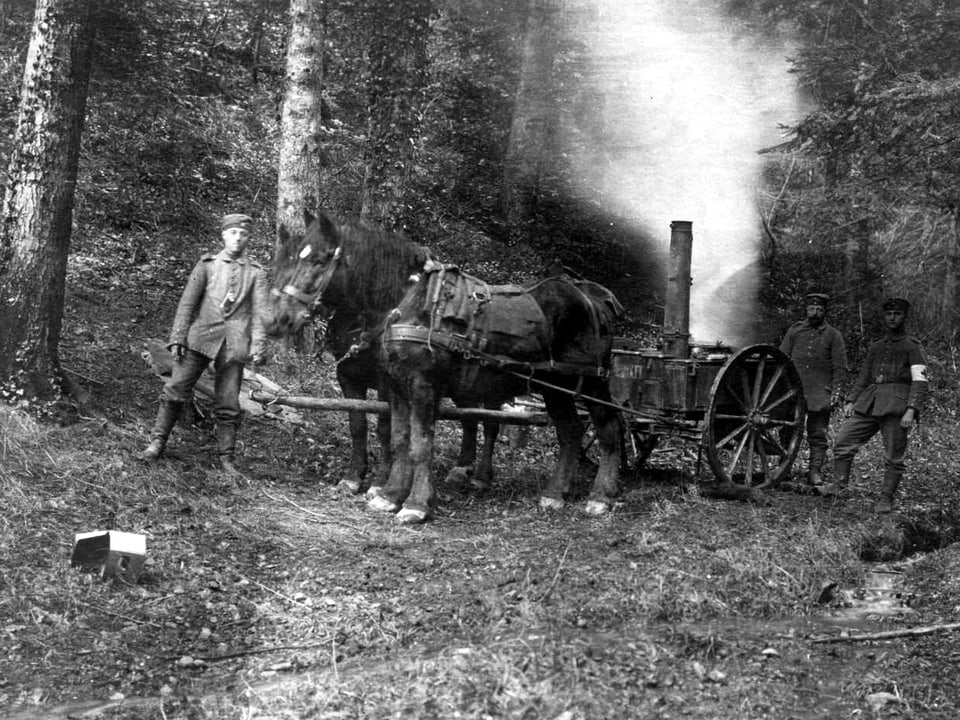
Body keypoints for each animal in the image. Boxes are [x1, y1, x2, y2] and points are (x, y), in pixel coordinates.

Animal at [264, 210, 498, 496]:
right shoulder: (348, 376)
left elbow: (386, 429)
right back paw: (461, 468)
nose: (278, 318)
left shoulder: (389, 383)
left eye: (319, 261)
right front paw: (354, 476)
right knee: (470, 418)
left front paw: (380, 482)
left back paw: (481, 475)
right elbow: (358, 424)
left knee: (490, 423)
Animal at [376, 258, 624, 524]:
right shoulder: (398, 389)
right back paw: (555, 493)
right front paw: (390, 495)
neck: (418, 312)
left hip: (592, 382)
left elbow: (420, 446)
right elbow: (400, 441)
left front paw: (417, 504)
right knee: (571, 431)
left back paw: (600, 497)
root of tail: (594, 301)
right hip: (556, 388)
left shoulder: (423, 388)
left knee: (609, 429)